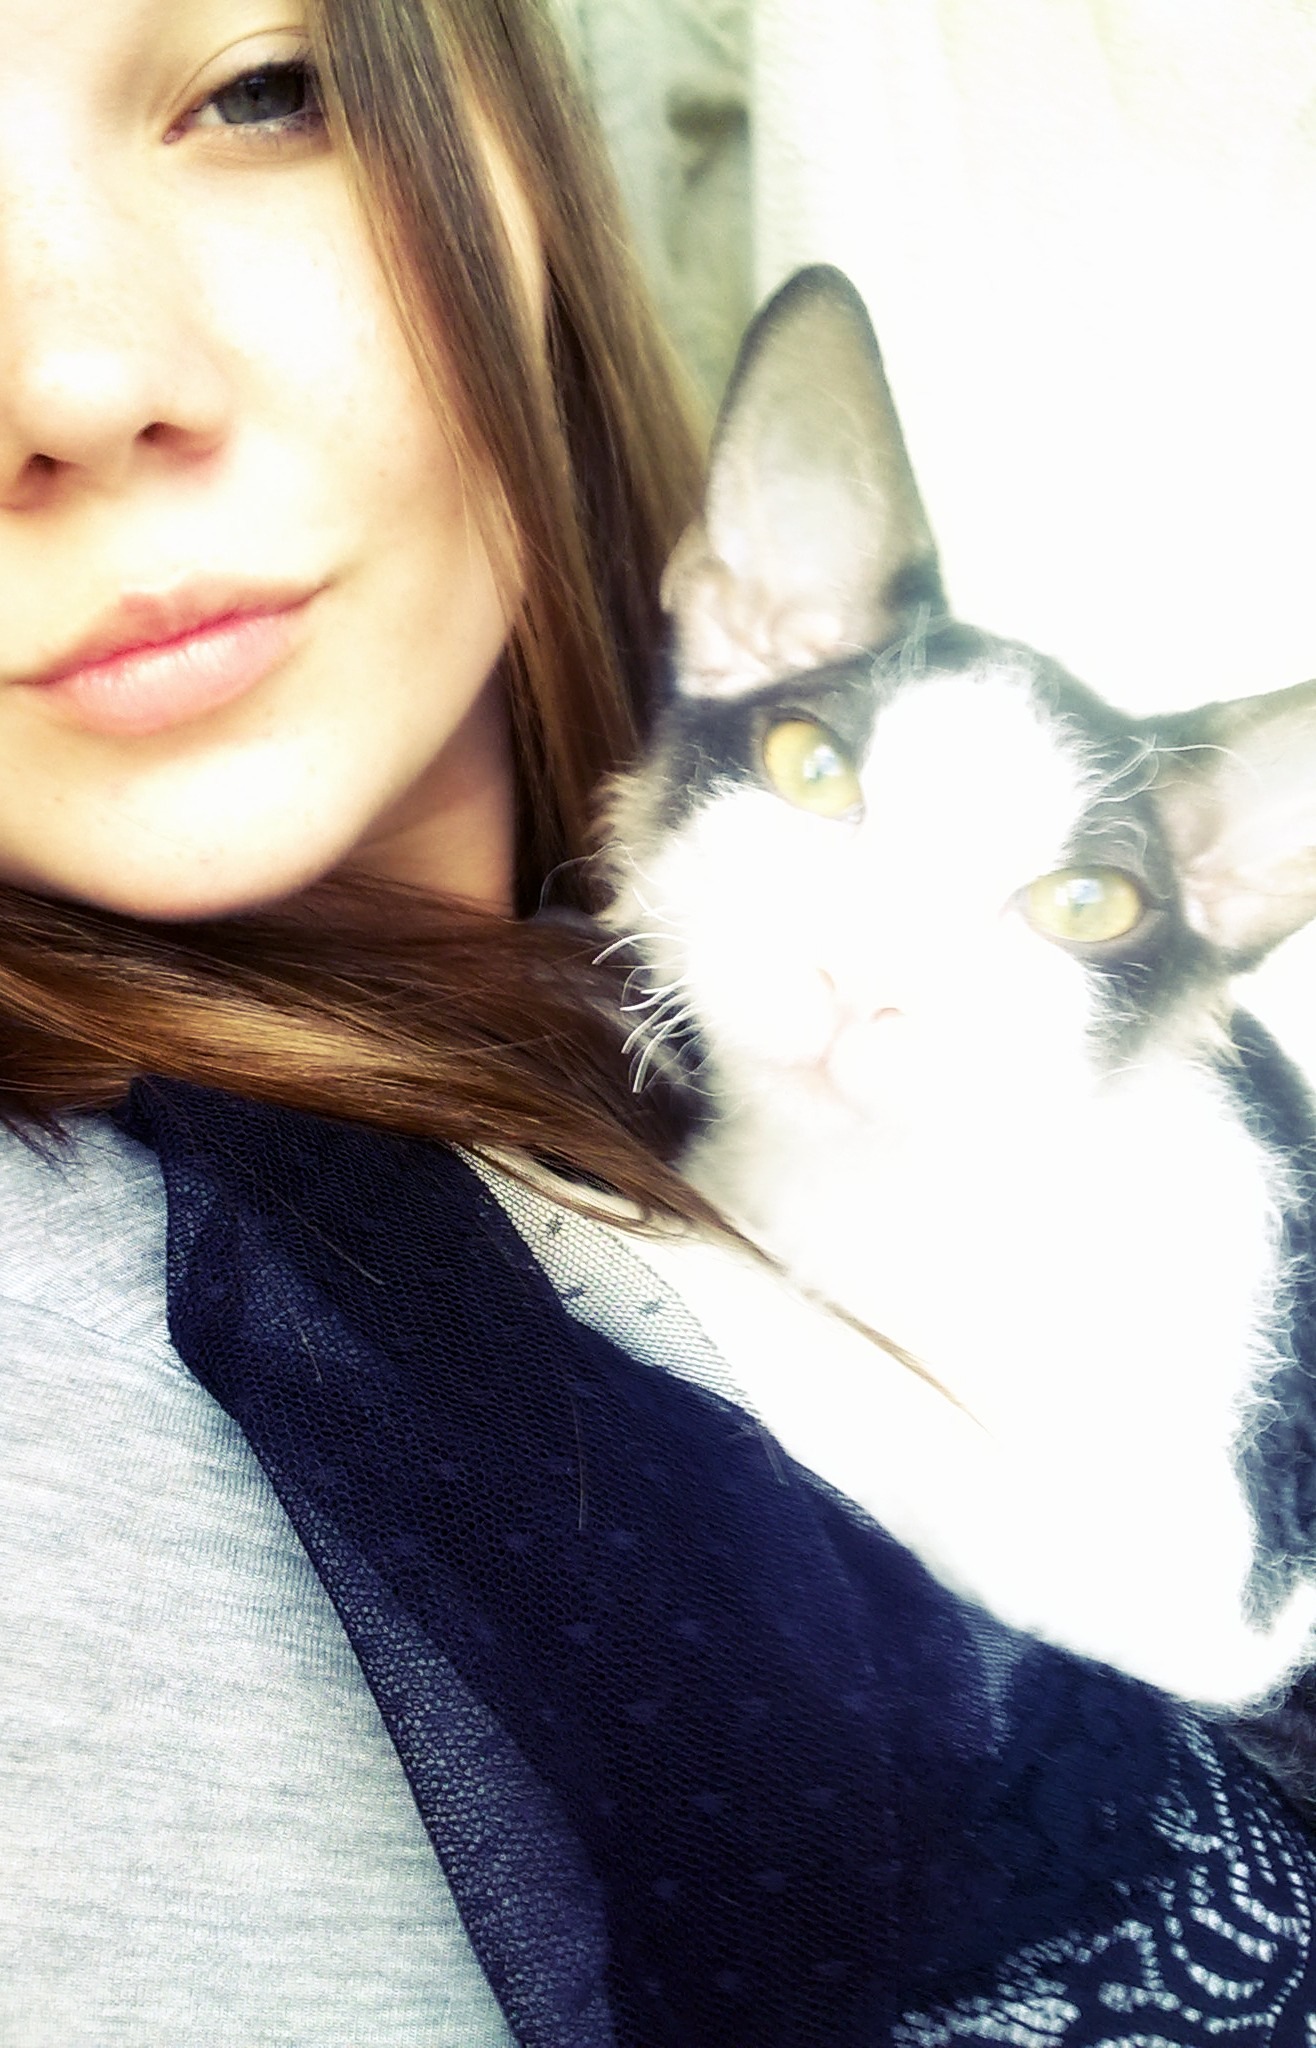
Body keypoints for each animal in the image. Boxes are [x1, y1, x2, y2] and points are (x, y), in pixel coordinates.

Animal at [598, 265, 1316, 1753]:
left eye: (1086, 904)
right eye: (809, 768)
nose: (865, 979)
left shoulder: (1216, 1594)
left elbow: (883, 1400)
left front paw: (629, 1230)